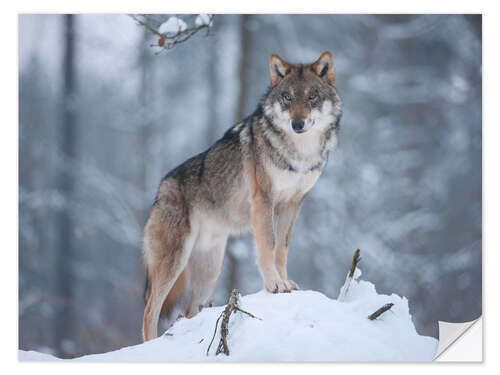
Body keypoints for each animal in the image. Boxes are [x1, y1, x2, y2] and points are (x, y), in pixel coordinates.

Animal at [143, 51, 342, 342]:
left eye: (312, 97)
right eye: (287, 98)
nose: (298, 123)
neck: (298, 154)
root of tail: (160, 189)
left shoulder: (293, 204)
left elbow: (282, 248)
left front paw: (285, 281)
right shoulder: (263, 200)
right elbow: (268, 245)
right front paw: (274, 284)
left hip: (210, 272)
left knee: (190, 310)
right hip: (174, 262)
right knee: (150, 310)